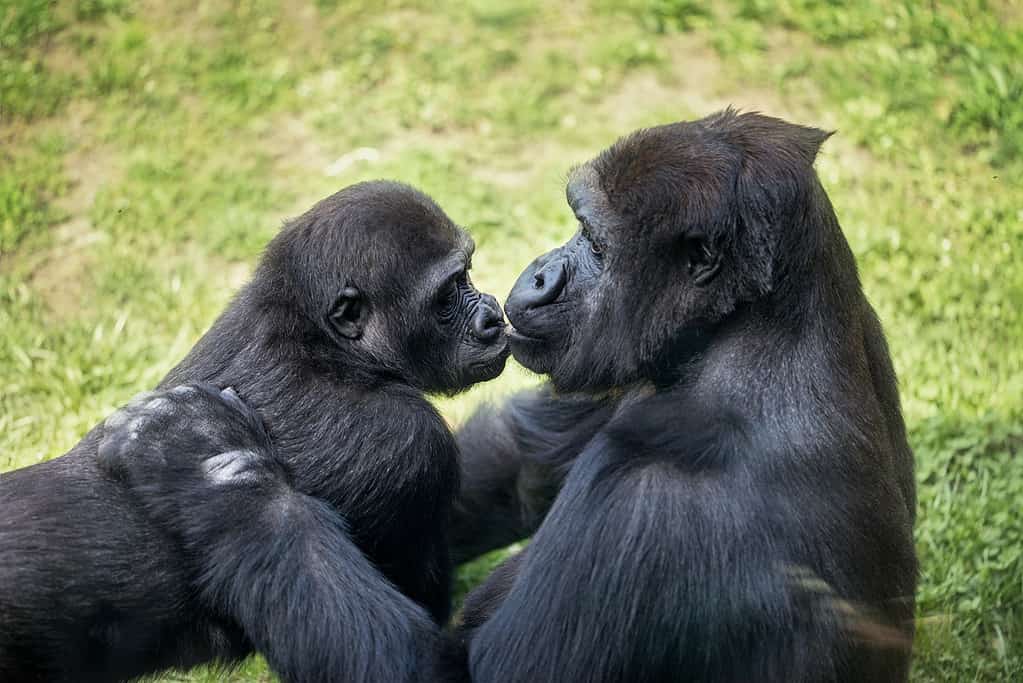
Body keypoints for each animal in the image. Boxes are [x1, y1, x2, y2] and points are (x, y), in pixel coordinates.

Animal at [97, 109, 912, 678]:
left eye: (593, 241)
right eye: (577, 226)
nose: (541, 274)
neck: (743, 332)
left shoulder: (653, 495)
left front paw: (207, 466)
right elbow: (522, 464)